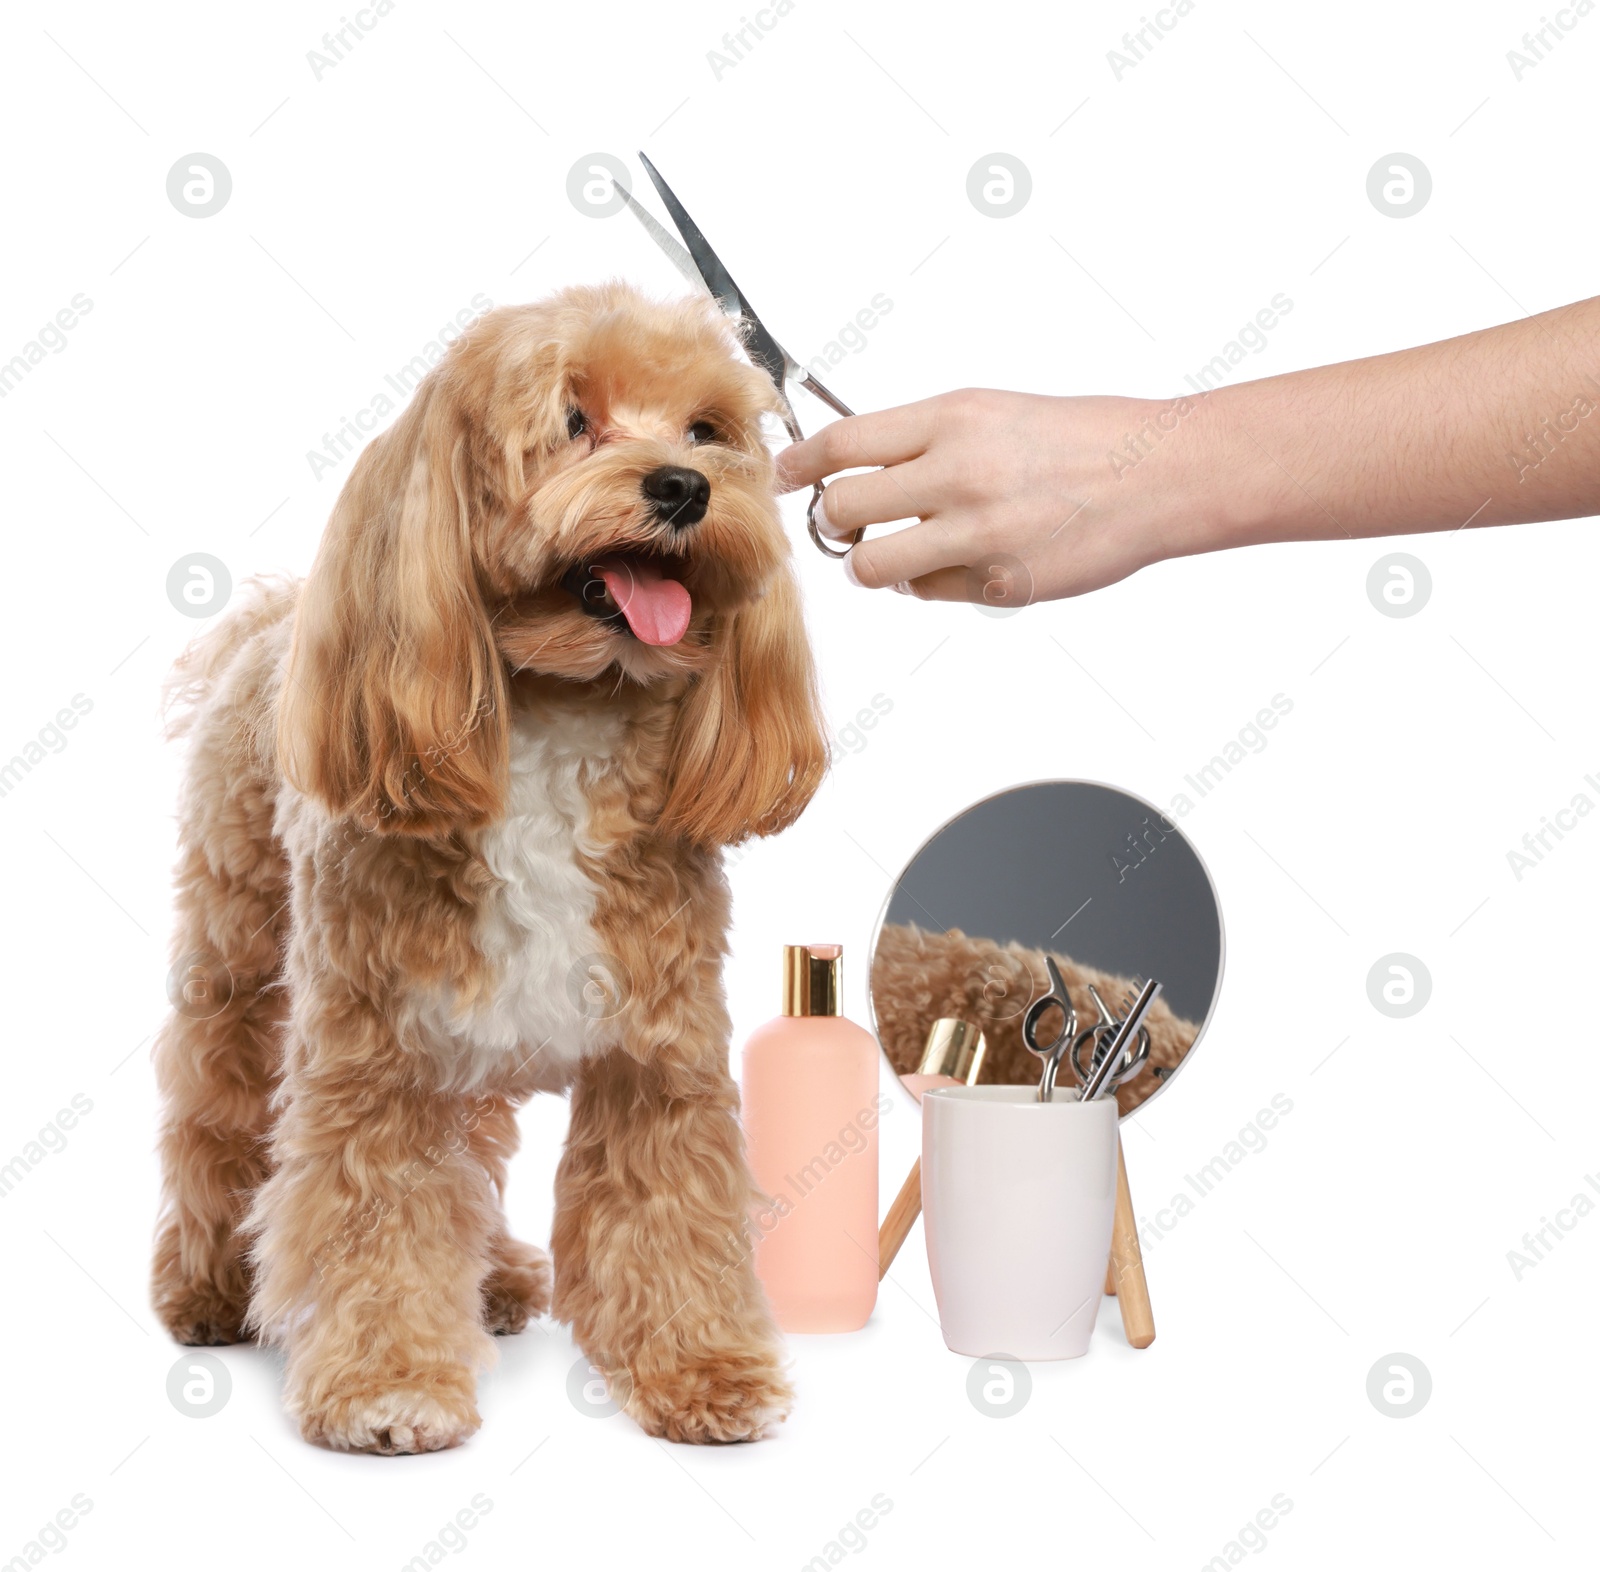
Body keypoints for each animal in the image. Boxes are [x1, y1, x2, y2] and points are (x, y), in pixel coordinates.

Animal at [152, 283, 825, 1453]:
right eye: (571, 419)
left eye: (707, 429)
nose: (684, 487)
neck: (562, 711)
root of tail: (277, 617)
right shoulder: (375, 1064)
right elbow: (374, 1219)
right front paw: (386, 1384)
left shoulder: (660, 1055)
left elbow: (670, 1214)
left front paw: (702, 1368)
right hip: (236, 964)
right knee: (216, 1118)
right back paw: (210, 1286)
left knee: (474, 1159)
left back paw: (499, 1277)